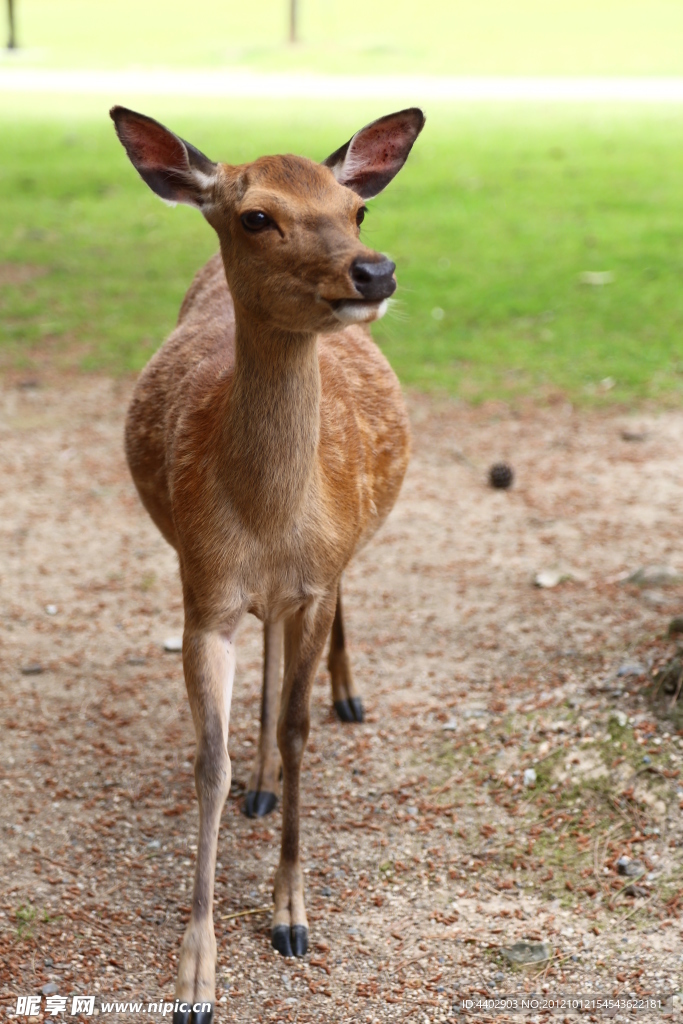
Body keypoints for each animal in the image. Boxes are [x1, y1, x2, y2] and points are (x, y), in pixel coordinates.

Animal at [109, 103, 423, 1024]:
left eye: (358, 208)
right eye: (255, 216)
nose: (374, 271)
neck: (268, 522)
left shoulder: (316, 579)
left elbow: (298, 728)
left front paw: (290, 917)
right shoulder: (202, 589)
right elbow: (206, 761)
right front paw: (195, 974)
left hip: (344, 554)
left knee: (321, 630)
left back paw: (346, 695)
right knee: (269, 651)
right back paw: (258, 784)